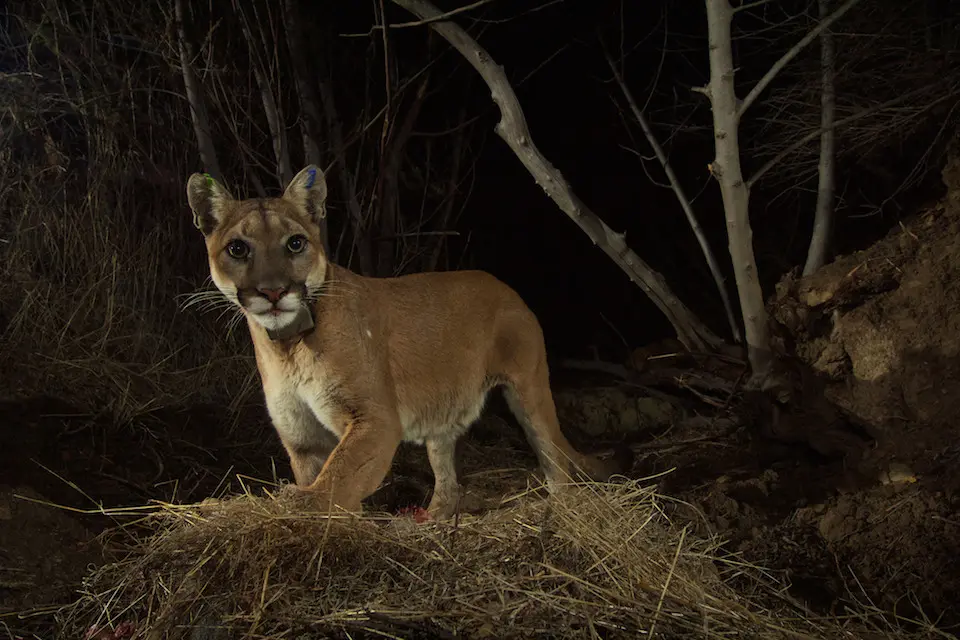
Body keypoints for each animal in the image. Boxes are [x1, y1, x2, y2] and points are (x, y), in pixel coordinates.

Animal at [185, 165, 631, 518]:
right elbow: (329, 479)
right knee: (448, 477)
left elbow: (337, 479)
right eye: (238, 249)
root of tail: (505, 286)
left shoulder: (376, 420)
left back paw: (561, 510)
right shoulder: (302, 437)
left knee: (554, 455)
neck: (287, 345)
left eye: (295, 243)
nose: (274, 291)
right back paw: (431, 519)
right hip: (443, 412)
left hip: (529, 388)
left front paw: (302, 507)